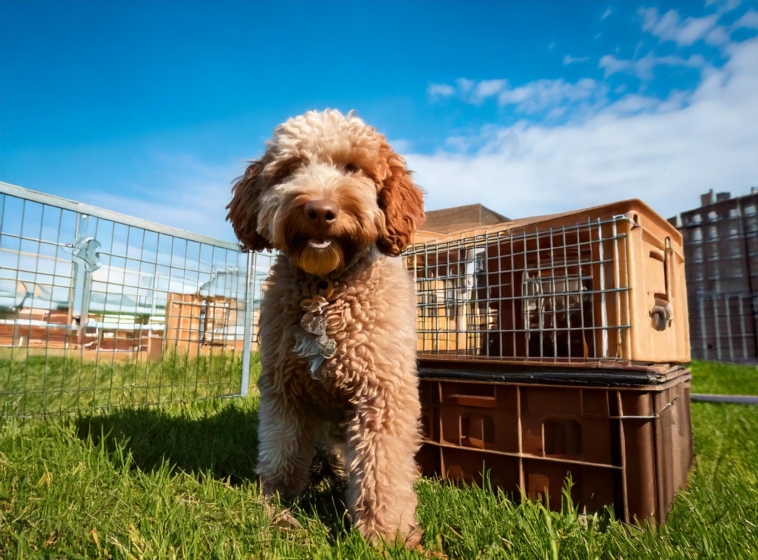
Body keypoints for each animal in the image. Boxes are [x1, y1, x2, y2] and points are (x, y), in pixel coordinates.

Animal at [226, 109, 428, 548]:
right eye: (290, 168)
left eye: (353, 167)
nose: (319, 211)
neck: (325, 288)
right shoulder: (285, 387)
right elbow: (282, 450)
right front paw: (275, 506)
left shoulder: (383, 392)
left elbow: (382, 468)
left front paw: (386, 535)